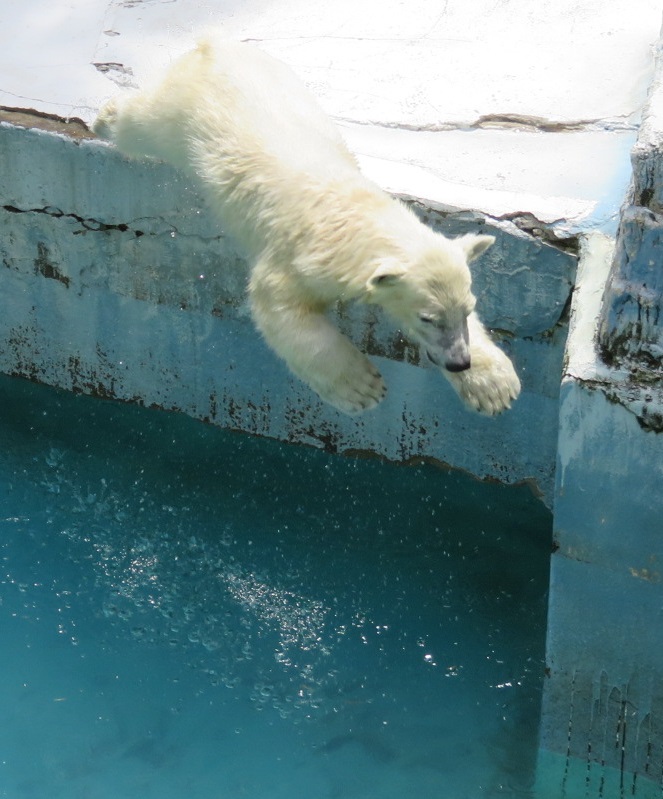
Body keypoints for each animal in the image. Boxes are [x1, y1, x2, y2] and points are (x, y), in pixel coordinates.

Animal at [94, 36, 520, 416]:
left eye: (468, 309)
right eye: (427, 318)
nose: (459, 362)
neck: (349, 215)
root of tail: (213, 47)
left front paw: (494, 387)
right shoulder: (297, 258)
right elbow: (278, 307)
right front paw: (361, 388)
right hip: (181, 117)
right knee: (140, 125)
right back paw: (103, 118)